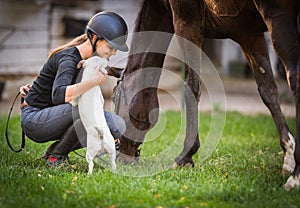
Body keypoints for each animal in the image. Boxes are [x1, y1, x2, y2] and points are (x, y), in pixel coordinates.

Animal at [109, 0, 300, 189]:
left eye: (114, 98)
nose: (121, 156)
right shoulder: (249, 34)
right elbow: (268, 89)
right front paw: (288, 154)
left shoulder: (186, 24)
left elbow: (191, 87)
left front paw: (185, 157)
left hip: (277, 16)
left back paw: (295, 178)